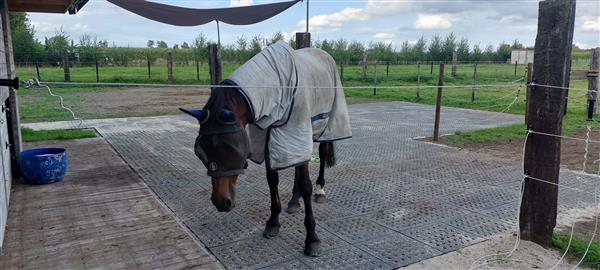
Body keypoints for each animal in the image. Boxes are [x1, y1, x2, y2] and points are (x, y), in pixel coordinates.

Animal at [183, 41, 352, 256]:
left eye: (231, 148)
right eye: (199, 151)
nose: (220, 202)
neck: (277, 86)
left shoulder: (297, 130)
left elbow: (306, 185)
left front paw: (312, 238)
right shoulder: (268, 138)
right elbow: (272, 180)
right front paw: (273, 222)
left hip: (324, 127)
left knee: (322, 156)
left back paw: (320, 190)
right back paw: (294, 200)